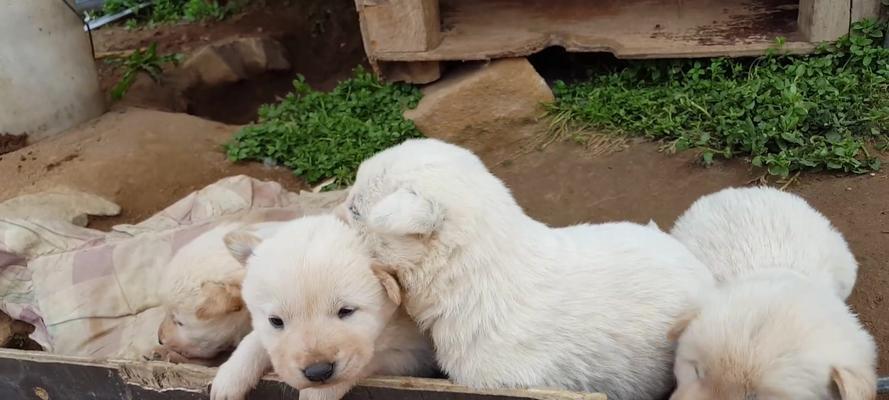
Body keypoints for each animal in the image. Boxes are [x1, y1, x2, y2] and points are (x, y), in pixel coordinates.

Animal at [209, 216, 438, 400]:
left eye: (346, 311)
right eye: (276, 321)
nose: (318, 372)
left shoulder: (415, 356)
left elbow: (370, 360)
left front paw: (317, 393)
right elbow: (255, 339)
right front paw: (230, 376)